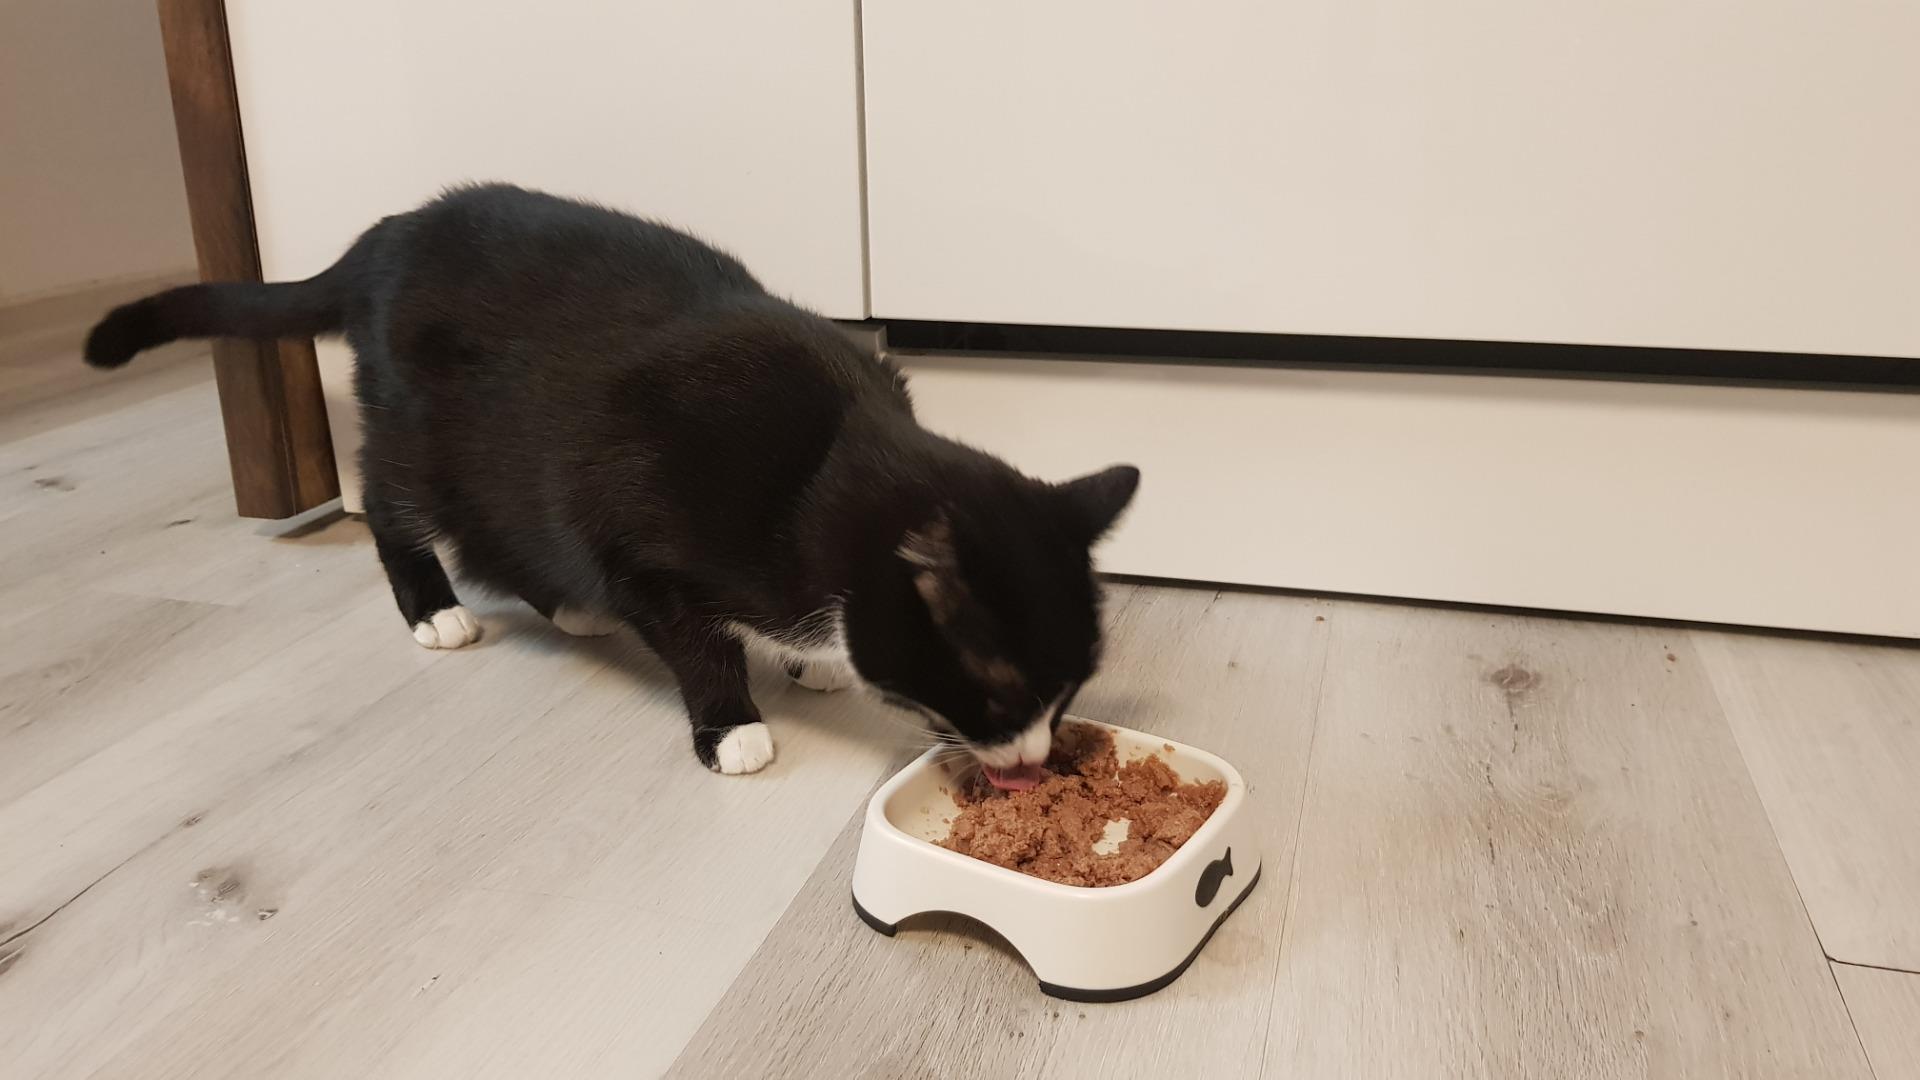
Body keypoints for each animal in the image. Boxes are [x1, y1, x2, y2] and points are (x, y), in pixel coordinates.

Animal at [85, 183, 1138, 781]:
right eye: (1004, 699)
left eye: (1072, 691)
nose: (1037, 760)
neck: (820, 469)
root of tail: (388, 234)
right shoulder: (635, 534)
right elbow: (692, 637)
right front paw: (733, 724)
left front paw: (813, 661)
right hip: (428, 431)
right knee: (395, 502)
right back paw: (437, 610)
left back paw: (567, 608)